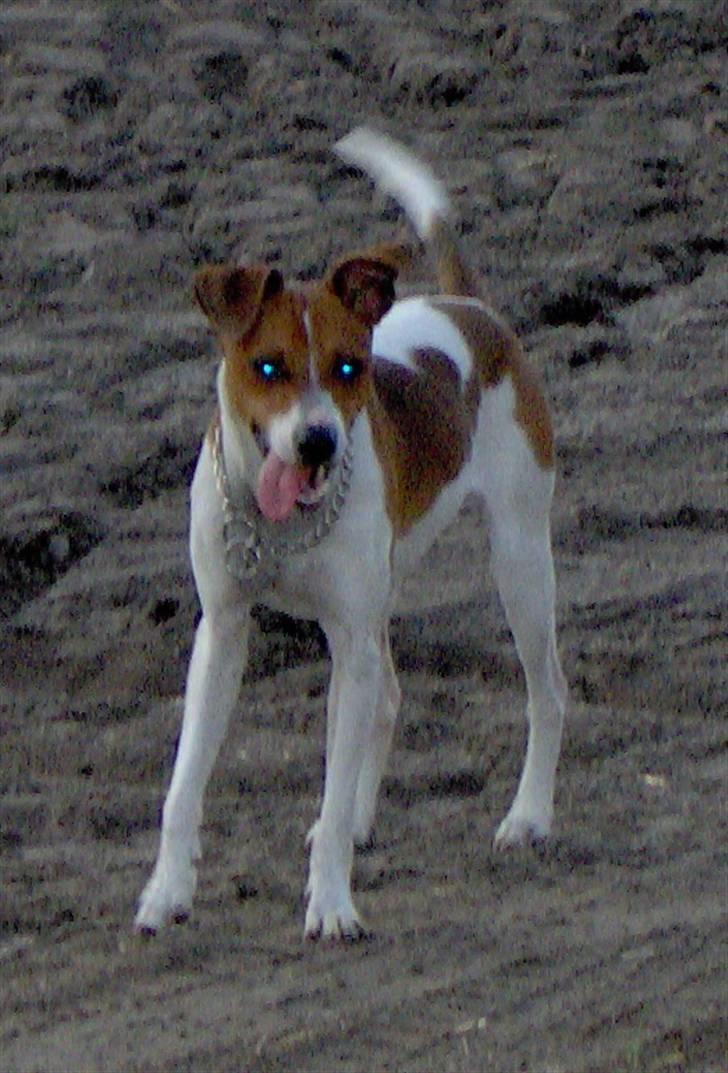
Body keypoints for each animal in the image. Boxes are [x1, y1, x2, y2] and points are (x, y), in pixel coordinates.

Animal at [135, 127, 571, 939]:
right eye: (266, 366)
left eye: (347, 368)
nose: (318, 443)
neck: (278, 529)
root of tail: (471, 307)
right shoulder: (224, 631)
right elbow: (183, 787)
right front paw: (166, 891)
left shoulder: (346, 635)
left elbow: (332, 798)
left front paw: (332, 903)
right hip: (379, 608)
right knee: (389, 696)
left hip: (520, 559)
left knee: (547, 691)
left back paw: (528, 816)